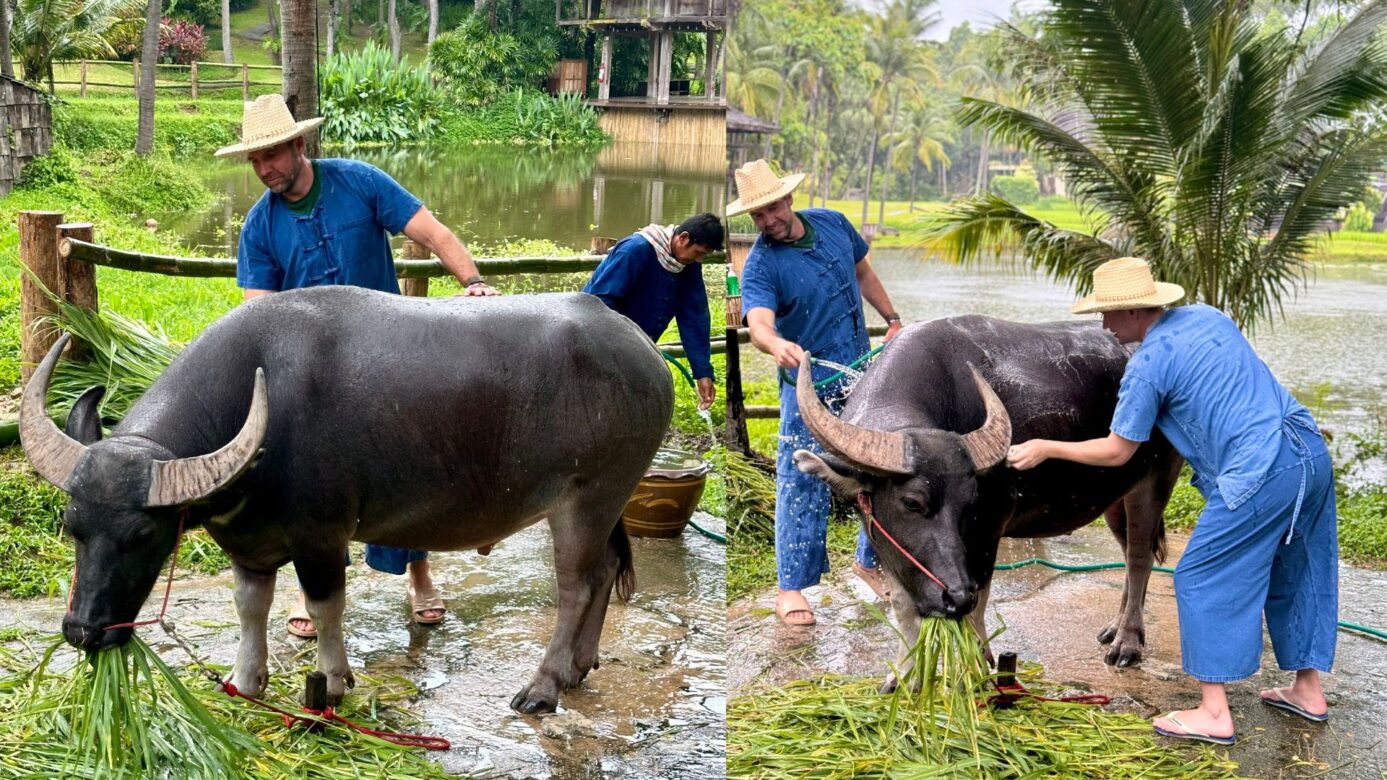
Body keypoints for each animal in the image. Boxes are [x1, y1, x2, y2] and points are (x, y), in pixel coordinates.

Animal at [20, 285, 671, 710]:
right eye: (73, 527)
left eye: (143, 536)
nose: (84, 632)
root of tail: (645, 349)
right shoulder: (249, 544)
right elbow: (249, 606)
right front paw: (246, 681)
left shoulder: (321, 536)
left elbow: (326, 606)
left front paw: (332, 684)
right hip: (607, 502)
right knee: (606, 570)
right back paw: (581, 667)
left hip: (589, 496)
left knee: (576, 585)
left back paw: (543, 686)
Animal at [798, 312, 1176, 677]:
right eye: (912, 502)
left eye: (971, 503)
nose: (955, 596)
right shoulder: (886, 542)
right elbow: (904, 609)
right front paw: (904, 678)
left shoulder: (988, 532)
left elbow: (977, 609)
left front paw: (977, 671)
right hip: (1117, 497)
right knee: (1128, 554)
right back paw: (1114, 628)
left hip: (1157, 479)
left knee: (1140, 558)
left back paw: (1127, 643)